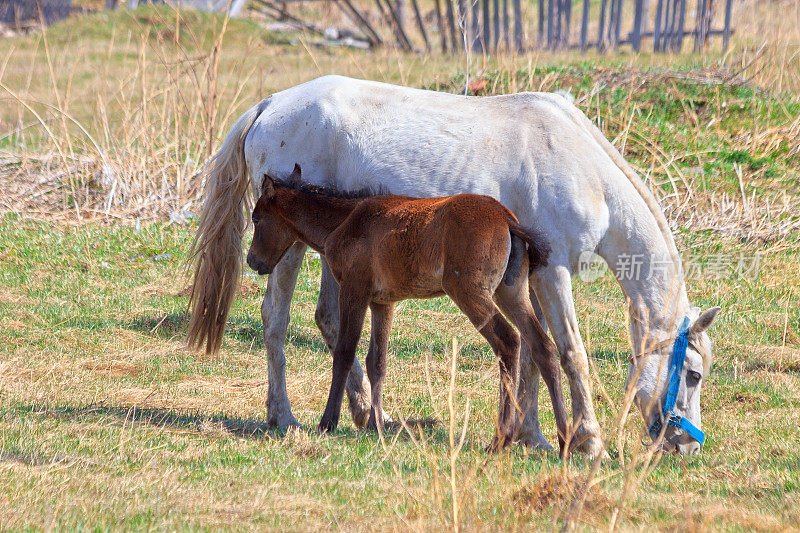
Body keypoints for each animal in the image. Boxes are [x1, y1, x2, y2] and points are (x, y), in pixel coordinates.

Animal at [247, 164, 564, 450]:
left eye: (257, 218)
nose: (252, 261)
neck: (346, 220)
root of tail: (508, 220)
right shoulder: (382, 302)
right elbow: (377, 362)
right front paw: (375, 424)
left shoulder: (354, 291)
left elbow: (345, 353)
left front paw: (328, 422)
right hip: (511, 293)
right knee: (543, 347)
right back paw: (566, 441)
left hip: (470, 293)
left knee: (508, 341)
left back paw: (501, 440)